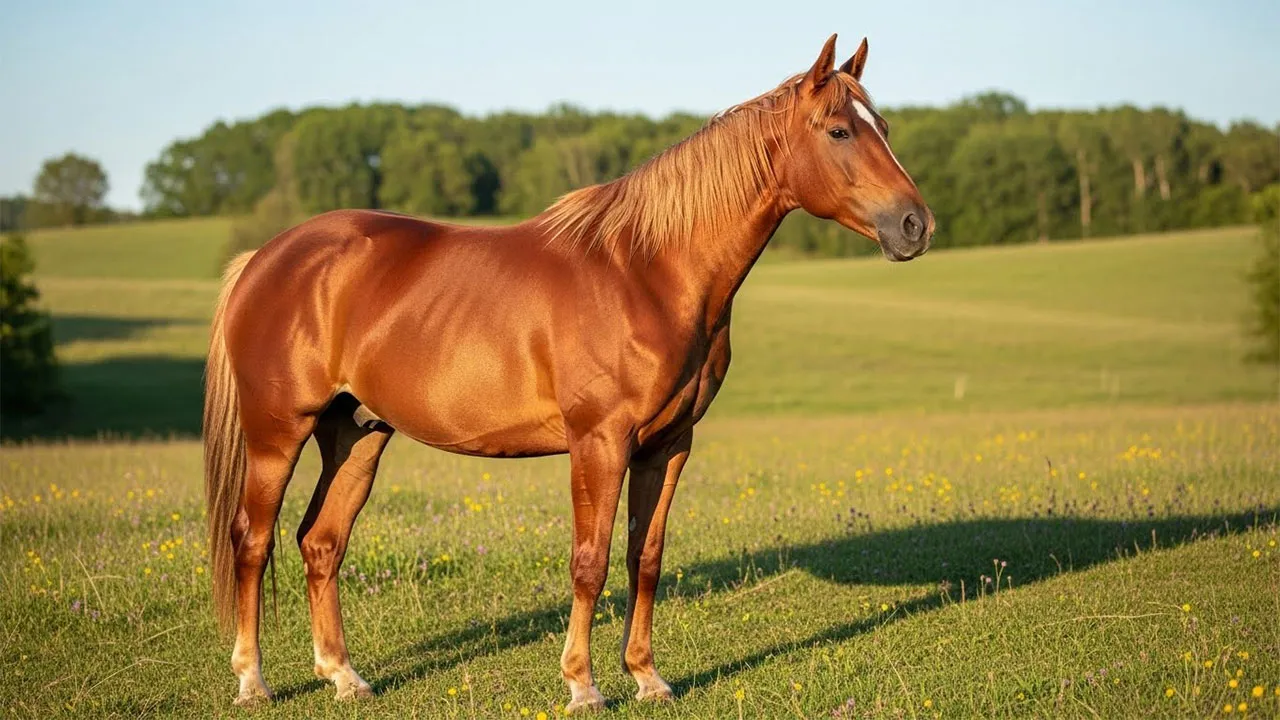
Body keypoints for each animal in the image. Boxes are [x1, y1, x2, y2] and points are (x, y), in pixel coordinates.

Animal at [203, 33, 933, 712]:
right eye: (839, 130)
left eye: (884, 127)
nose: (915, 225)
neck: (648, 272)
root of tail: (265, 258)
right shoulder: (598, 443)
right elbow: (591, 561)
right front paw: (583, 685)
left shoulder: (668, 447)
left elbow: (645, 559)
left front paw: (647, 678)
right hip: (277, 434)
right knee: (253, 540)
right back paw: (252, 681)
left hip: (356, 433)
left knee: (321, 543)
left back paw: (343, 677)